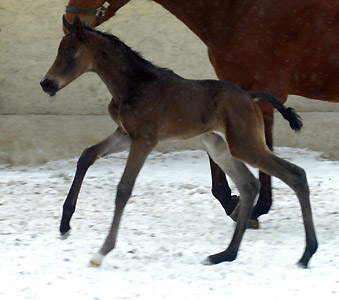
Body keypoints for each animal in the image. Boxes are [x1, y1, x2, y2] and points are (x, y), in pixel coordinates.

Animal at [40, 16, 318, 268]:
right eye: (58, 50)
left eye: (70, 52)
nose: (46, 83)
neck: (133, 85)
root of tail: (251, 96)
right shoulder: (124, 134)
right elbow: (87, 155)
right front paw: (65, 224)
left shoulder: (145, 140)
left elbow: (123, 189)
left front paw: (101, 252)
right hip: (219, 146)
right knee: (249, 185)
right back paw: (225, 255)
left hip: (244, 144)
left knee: (296, 174)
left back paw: (306, 254)